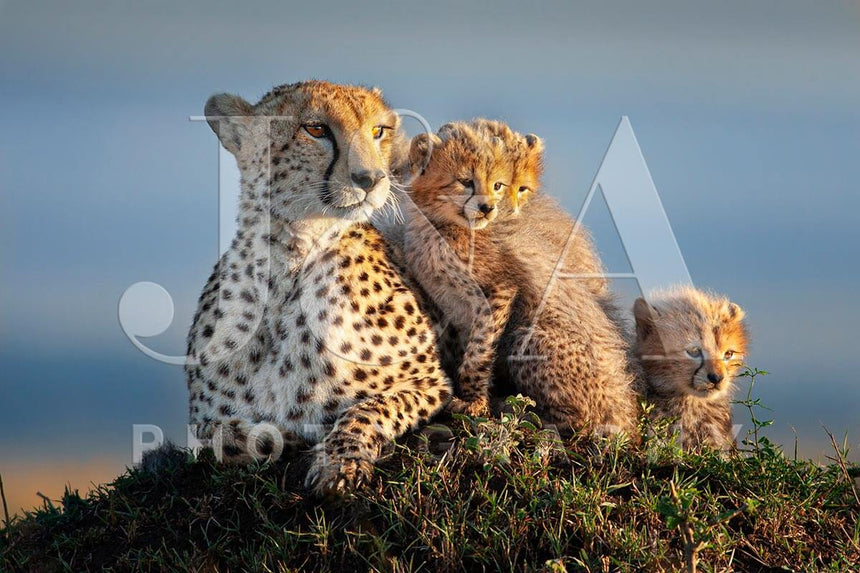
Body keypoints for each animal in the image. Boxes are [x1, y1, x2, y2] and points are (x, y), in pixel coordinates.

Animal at [185, 81, 452, 497]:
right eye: (315, 129)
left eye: (379, 131)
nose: (371, 179)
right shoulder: (206, 416)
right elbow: (222, 436)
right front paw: (280, 439)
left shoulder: (429, 383)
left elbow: (367, 409)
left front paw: (338, 463)